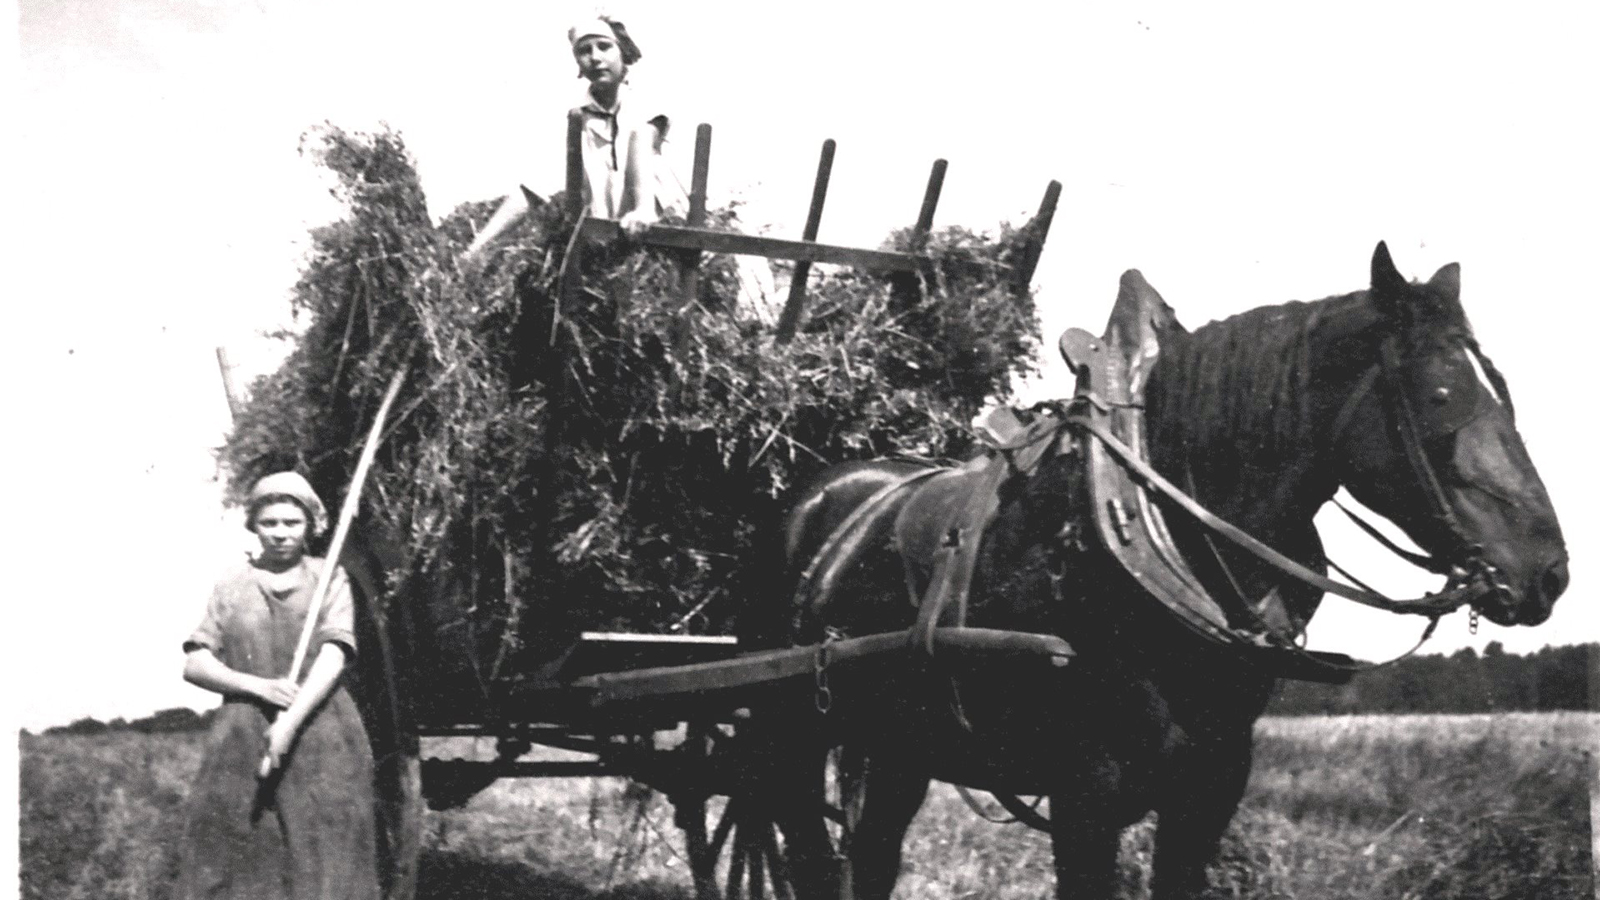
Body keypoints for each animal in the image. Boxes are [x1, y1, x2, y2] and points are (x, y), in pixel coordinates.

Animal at [755, 241, 1568, 890]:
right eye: (1441, 396)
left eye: (1503, 390)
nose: (1550, 572)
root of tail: (826, 494)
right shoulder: (1085, 791)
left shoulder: (1208, 789)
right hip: (797, 737)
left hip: (893, 745)